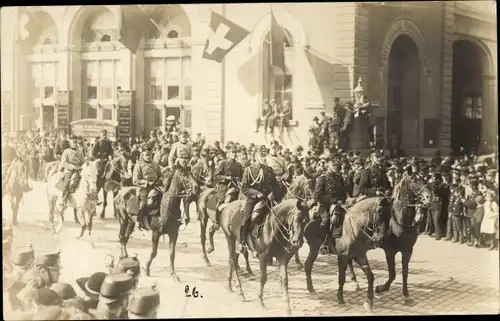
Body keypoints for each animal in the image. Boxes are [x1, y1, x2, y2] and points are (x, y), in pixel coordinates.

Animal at [376, 174, 434, 304]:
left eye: (424, 179)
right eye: (413, 180)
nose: (428, 197)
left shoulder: (407, 250)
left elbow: (405, 272)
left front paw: (406, 294)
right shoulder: (390, 251)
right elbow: (392, 273)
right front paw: (381, 288)